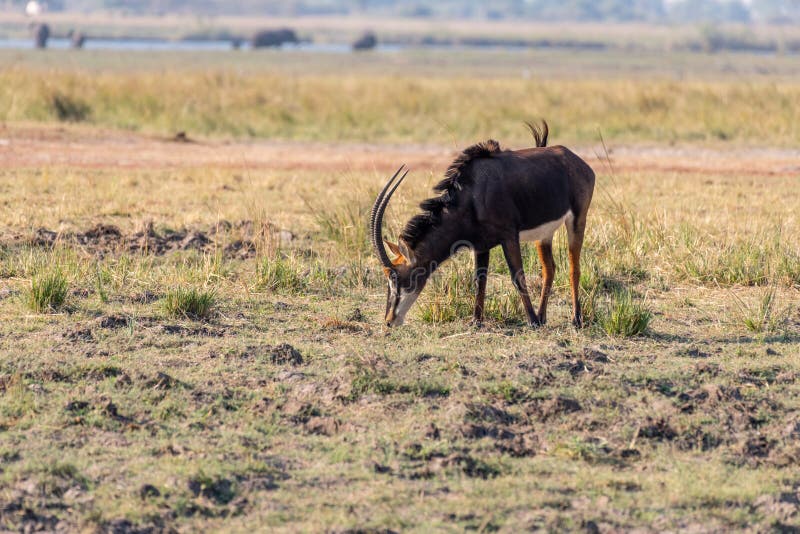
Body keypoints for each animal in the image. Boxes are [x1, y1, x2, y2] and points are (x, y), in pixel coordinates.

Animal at [368, 122, 592, 328]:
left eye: (395, 277)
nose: (389, 321)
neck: (473, 193)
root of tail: (576, 161)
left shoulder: (509, 236)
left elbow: (517, 277)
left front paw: (532, 321)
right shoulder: (481, 246)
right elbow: (479, 280)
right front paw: (476, 321)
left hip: (577, 220)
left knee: (574, 268)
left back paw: (575, 319)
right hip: (544, 235)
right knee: (549, 269)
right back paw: (543, 316)